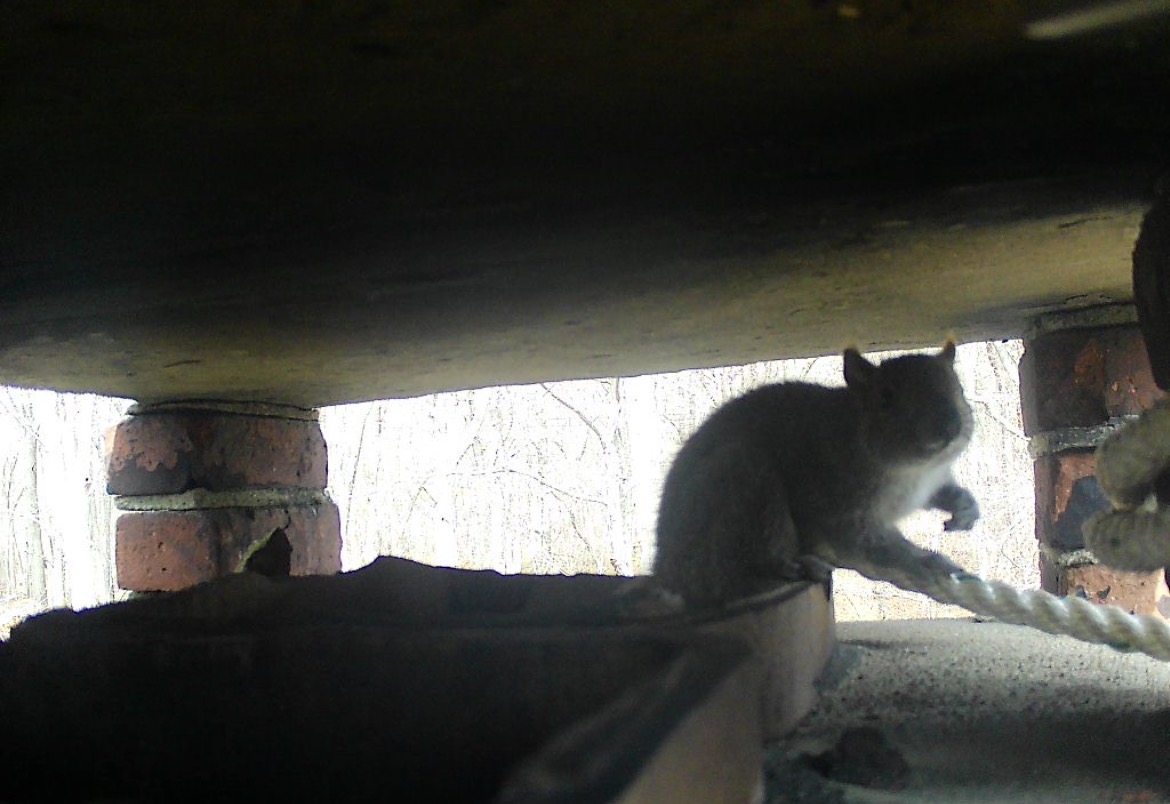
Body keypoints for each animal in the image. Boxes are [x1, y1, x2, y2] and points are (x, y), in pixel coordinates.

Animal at [652, 342, 979, 609]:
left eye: (958, 387)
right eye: (886, 397)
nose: (950, 426)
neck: (911, 470)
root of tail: (667, 574)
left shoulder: (925, 484)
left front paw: (964, 507)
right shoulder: (834, 501)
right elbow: (876, 546)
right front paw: (928, 562)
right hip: (744, 479)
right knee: (736, 573)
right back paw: (792, 565)